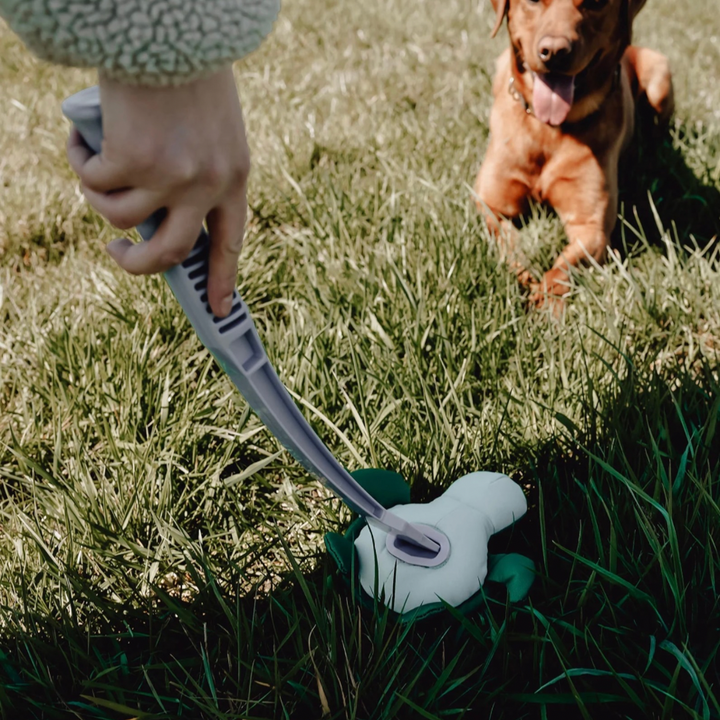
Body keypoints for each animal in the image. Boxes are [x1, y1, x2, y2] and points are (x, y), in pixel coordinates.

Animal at [476, 0, 672, 304]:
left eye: (596, 3)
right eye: (533, 2)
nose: (554, 52)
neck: (550, 129)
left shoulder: (591, 228)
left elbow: (561, 270)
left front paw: (546, 306)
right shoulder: (491, 207)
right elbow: (508, 247)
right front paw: (522, 280)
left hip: (660, 75)